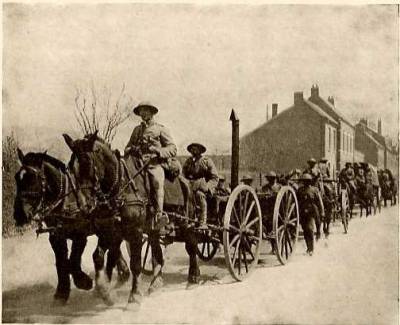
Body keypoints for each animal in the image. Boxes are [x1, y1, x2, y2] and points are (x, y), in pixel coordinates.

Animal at [13, 149, 130, 304]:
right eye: (17, 178)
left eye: (33, 178)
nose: (19, 214)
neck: (65, 198)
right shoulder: (56, 236)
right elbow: (61, 261)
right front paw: (61, 293)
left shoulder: (79, 235)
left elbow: (73, 260)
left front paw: (83, 281)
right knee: (113, 246)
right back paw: (122, 273)